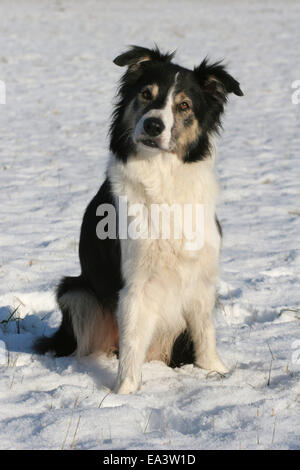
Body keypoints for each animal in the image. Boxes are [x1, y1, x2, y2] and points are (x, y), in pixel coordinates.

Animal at [35, 46, 243, 392]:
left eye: (184, 105)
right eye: (146, 94)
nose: (153, 126)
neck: (162, 175)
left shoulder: (200, 277)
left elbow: (205, 333)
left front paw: (216, 371)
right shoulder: (135, 284)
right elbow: (132, 344)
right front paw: (125, 393)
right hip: (76, 292)